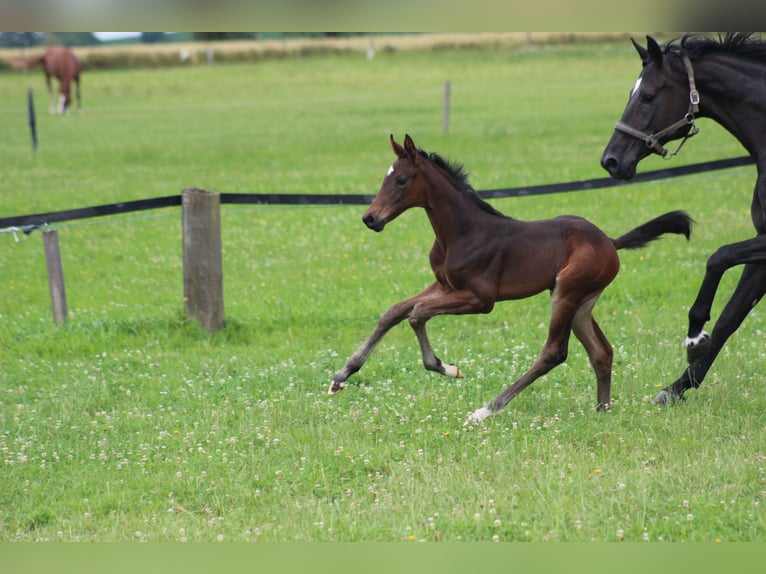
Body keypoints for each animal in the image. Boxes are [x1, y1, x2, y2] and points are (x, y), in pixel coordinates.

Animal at [332, 135, 696, 424]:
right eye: (387, 178)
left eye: (402, 180)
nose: (370, 218)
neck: (461, 232)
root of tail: (609, 241)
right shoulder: (445, 285)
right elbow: (394, 311)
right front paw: (342, 375)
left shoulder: (481, 299)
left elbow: (417, 313)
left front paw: (446, 367)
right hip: (582, 302)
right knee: (601, 351)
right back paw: (602, 410)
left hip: (566, 293)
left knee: (554, 352)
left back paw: (486, 410)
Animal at [604, 33, 766, 408]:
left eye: (648, 95)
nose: (610, 161)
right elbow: (730, 317)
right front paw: (677, 387)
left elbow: (718, 257)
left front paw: (694, 336)